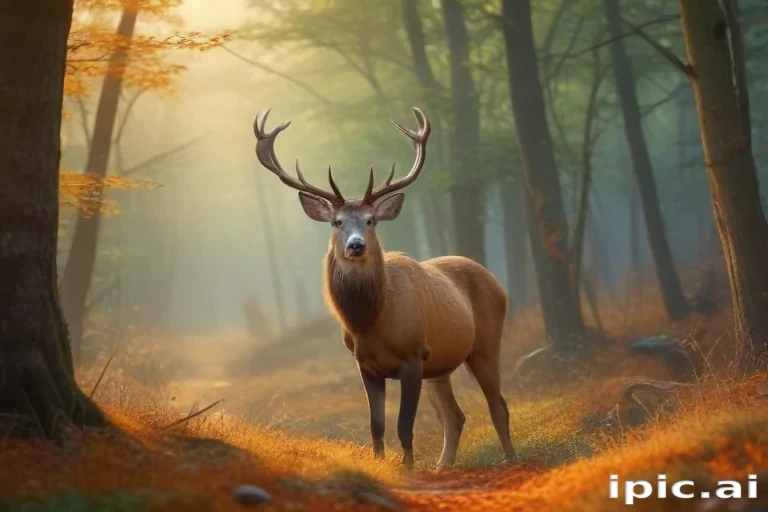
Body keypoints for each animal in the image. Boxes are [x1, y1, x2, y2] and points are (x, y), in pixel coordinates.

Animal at [252, 107, 515, 469]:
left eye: (370, 220)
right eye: (337, 222)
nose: (356, 245)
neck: (371, 321)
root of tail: (496, 281)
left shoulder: (412, 357)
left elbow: (404, 425)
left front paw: (407, 467)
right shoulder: (365, 364)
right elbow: (376, 425)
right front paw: (382, 463)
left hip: (485, 343)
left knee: (498, 404)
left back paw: (509, 459)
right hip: (440, 366)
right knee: (455, 415)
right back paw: (442, 466)